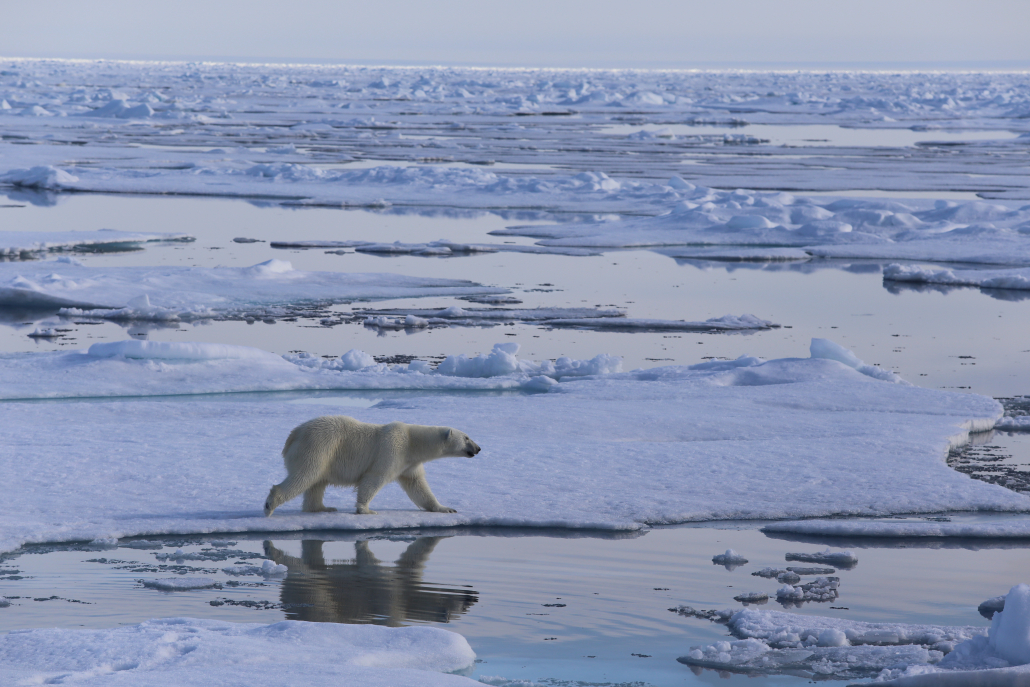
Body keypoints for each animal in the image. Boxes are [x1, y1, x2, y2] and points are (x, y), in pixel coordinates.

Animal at [261, 414, 477, 514]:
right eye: (467, 438)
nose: (478, 448)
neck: (412, 441)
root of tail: (293, 435)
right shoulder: (392, 450)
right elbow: (374, 478)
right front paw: (366, 509)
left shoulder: (410, 464)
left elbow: (418, 486)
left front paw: (445, 508)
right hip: (318, 448)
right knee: (305, 476)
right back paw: (270, 505)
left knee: (317, 483)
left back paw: (323, 508)